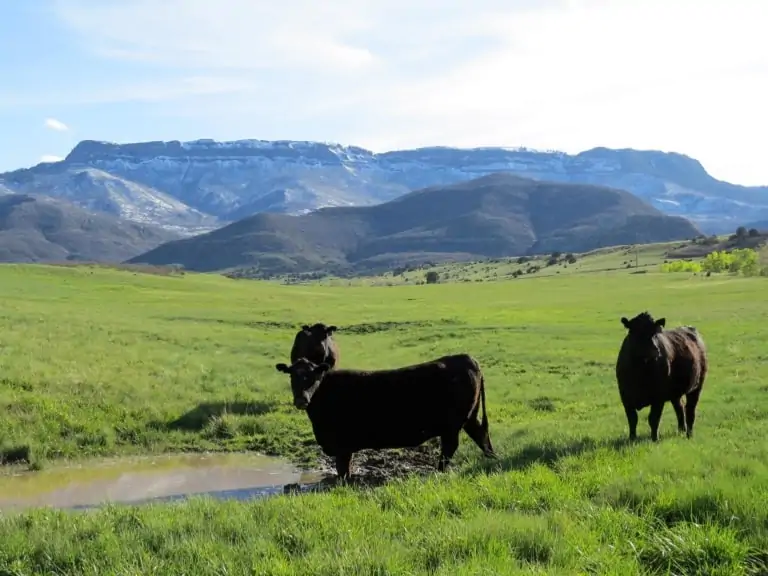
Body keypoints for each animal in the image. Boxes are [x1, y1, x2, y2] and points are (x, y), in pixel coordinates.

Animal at [274, 353, 496, 480]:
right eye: (292, 375)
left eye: (313, 376)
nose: (301, 399)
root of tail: (467, 358)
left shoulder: (342, 445)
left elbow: (342, 468)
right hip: (469, 418)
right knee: (481, 436)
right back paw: (492, 461)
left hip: (452, 425)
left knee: (450, 448)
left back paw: (438, 471)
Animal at [616, 311, 708, 442]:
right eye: (635, 331)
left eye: (655, 333)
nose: (655, 349)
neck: (641, 369)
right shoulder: (625, 396)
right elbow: (632, 419)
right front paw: (632, 438)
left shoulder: (658, 397)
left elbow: (653, 419)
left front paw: (655, 439)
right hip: (675, 393)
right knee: (680, 408)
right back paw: (681, 430)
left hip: (696, 387)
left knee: (690, 410)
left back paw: (689, 434)